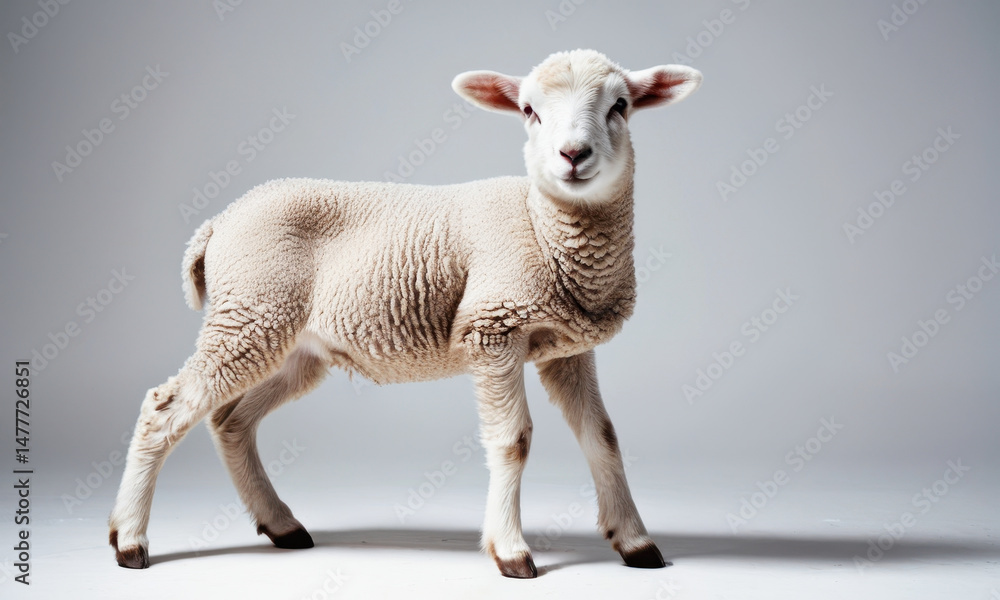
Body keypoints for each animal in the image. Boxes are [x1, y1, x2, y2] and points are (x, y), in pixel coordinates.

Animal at [108, 49, 702, 578]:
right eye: (530, 111)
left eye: (620, 106)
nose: (572, 155)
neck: (542, 226)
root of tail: (218, 221)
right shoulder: (493, 327)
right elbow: (513, 440)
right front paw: (511, 552)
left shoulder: (566, 346)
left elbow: (602, 436)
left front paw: (636, 542)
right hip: (250, 311)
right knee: (164, 408)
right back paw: (129, 539)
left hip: (288, 342)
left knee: (230, 421)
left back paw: (280, 525)